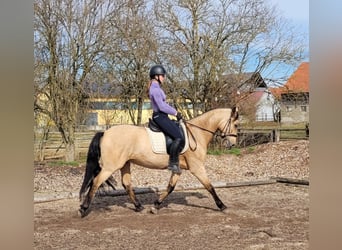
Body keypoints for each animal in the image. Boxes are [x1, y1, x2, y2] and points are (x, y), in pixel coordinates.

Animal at [79, 107, 239, 217]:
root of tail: (105, 132)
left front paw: (155, 205)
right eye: (236, 124)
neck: (196, 133)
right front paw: (222, 206)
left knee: (126, 184)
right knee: (96, 182)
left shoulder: (178, 169)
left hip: (125, 164)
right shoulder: (197, 167)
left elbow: (170, 187)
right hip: (111, 166)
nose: (232, 144)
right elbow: (209, 186)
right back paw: (84, 208)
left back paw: (138, 206)